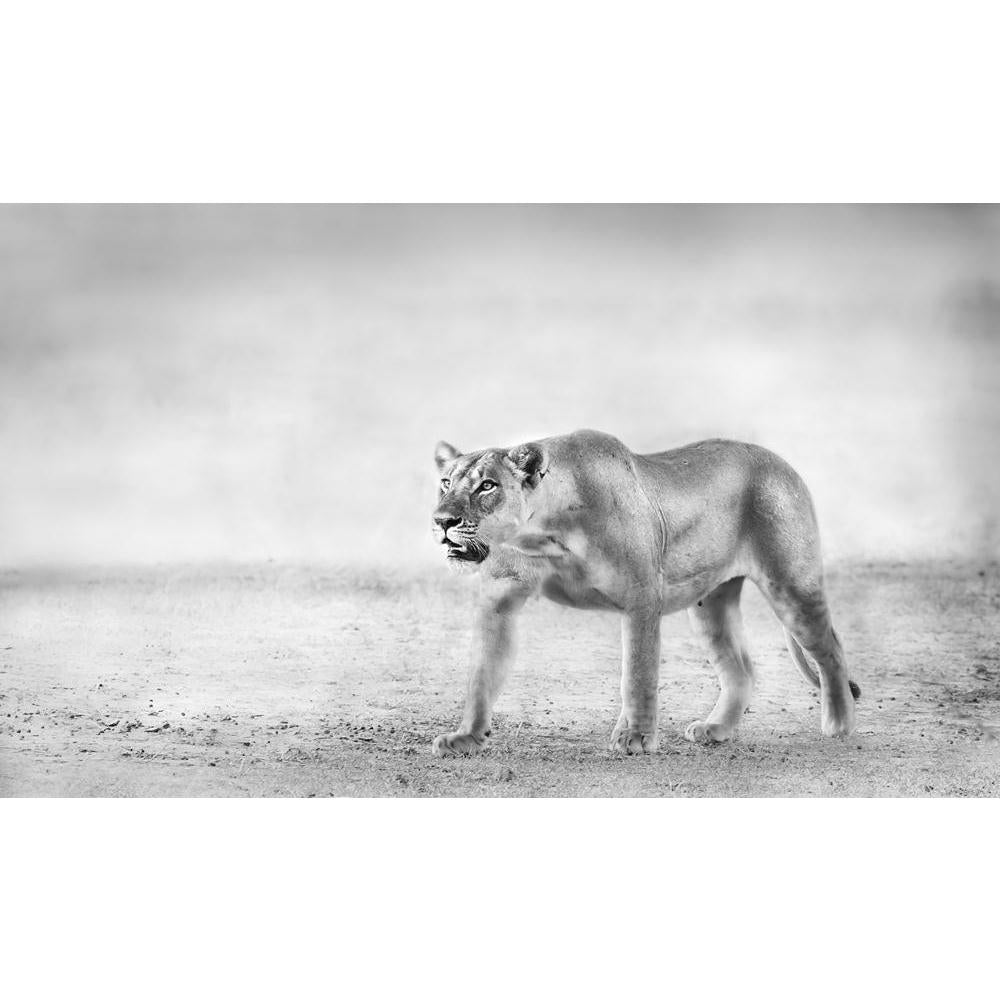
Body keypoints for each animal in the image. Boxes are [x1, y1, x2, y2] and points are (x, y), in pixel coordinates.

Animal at [430, 429, 860, 757]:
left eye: (487, 486)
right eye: (446, 482)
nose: (442, 520)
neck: (545, 535)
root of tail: (780, 461)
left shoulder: (641, 596)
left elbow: (637, 672)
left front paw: (635, 737)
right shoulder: (499, 601)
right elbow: (482, 674)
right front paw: (467, 736)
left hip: (791, 584)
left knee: (831, 651)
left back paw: (839, 724)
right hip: (710, 605)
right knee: (741, 670)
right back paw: (716, 729)